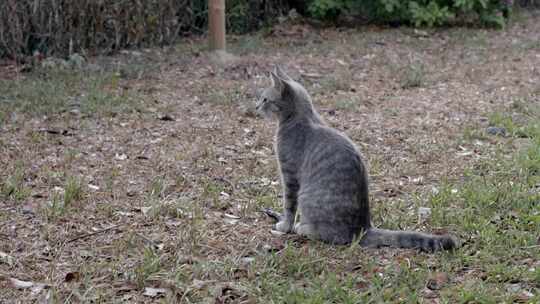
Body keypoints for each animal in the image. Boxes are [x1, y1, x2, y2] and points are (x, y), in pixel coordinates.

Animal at [256, 66, 456, 252]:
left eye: (265, 99)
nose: (256, 106)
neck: (301, 119)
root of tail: (363, 229)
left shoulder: (289, 175)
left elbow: (289, 205)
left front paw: (285, 226)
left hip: (307, 197)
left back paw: (302, 228)